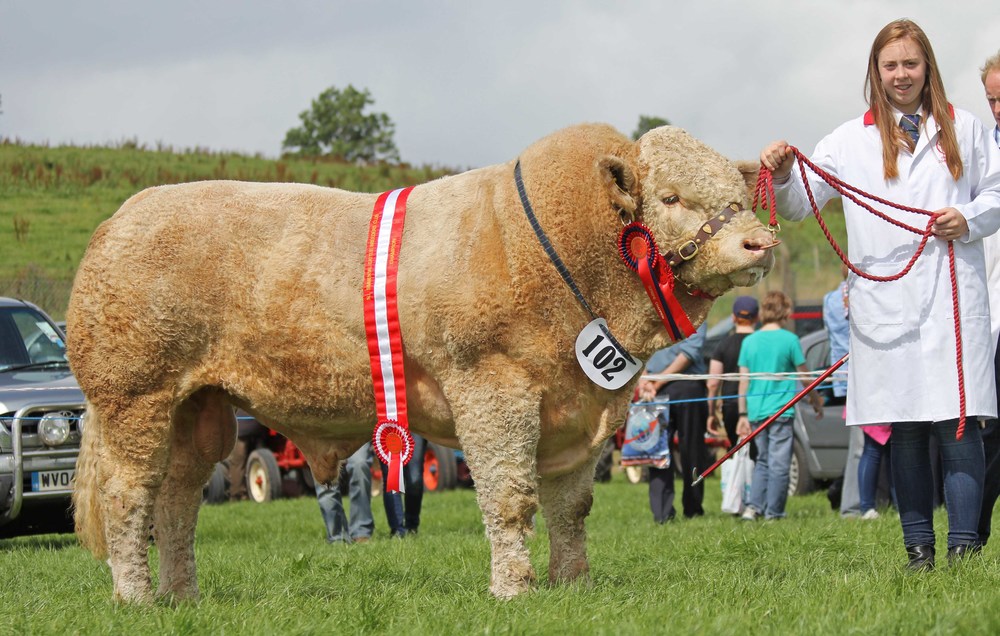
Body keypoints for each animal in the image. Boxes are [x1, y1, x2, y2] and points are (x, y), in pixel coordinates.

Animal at [68, 123, 772, 600]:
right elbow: (509, 497)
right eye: (673, 197)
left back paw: (180, 596)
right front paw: (512, 589)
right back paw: (135, 598)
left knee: (176, 500)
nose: (760, 241)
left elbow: (570, 508)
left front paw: (572, 585)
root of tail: (121, 218)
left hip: (197, 408)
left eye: (738, 193)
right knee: (129, 496)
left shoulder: (579, 409)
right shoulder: (492, 389)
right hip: (135, 398)